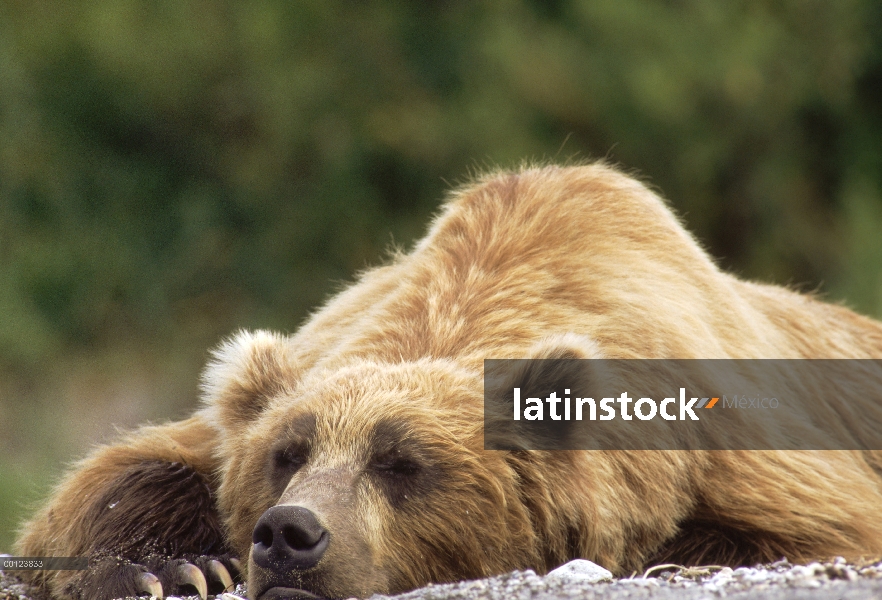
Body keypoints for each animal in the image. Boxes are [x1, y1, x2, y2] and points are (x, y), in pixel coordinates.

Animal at [10, 164, 880, 600]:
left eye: (402, 462)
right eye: (287, 454)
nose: (289, 533)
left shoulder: (733, 439)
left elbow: (815, 524)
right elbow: (116, 478)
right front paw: (174, 567)